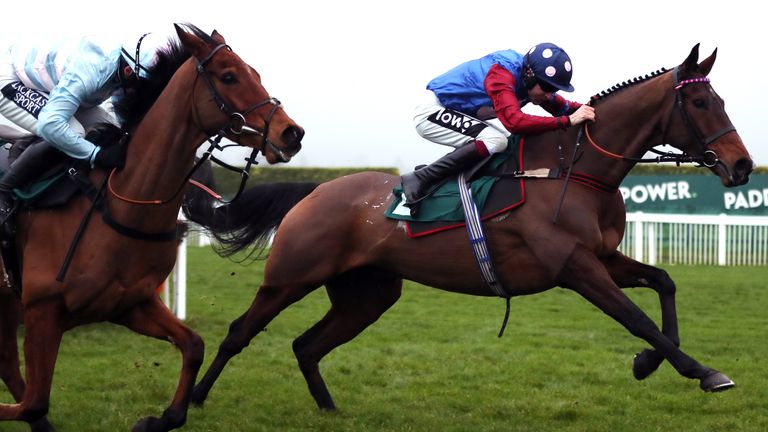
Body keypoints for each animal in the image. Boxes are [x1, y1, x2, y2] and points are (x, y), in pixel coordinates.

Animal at [0, 23, 304, 432]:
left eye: (255, 73)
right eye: (229, 76)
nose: (292, 133)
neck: (122, 202)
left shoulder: (132, 303)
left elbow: (194, 346)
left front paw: (155, 420)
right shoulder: (42, 310)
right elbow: (33, 403)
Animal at [184, 44, 752, 412]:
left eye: (720, 101)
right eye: (701, 103)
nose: (743, 166)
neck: (571, 168)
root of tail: (315, 191)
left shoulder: (603, 257)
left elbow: (664, 282)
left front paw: (648, 363)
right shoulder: (574, 266)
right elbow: (637, 318)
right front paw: (702, 372)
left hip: (368, 294)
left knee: (307, 346)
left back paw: (330, 411)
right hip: (291, 276)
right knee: (239, 333)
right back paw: (195, 399)